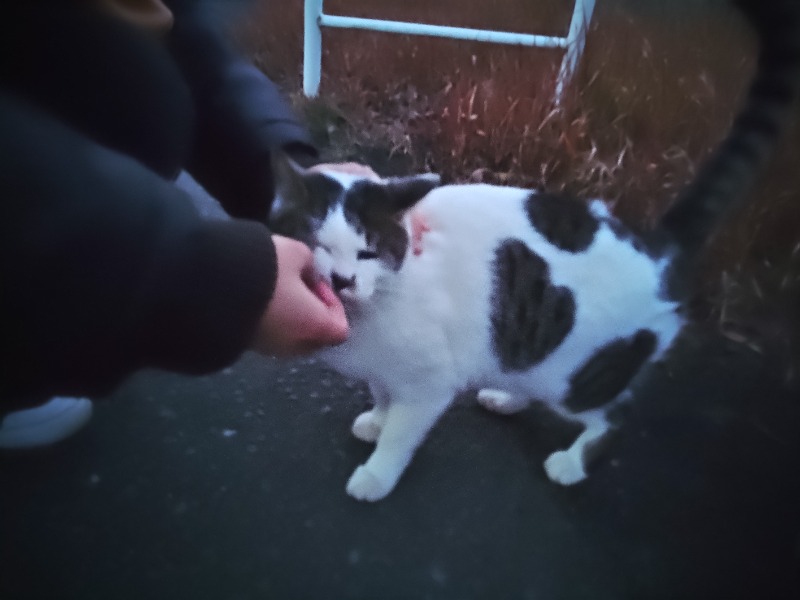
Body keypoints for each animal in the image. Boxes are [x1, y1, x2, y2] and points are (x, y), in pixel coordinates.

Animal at [270, 0, 800, 502]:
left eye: (368, 252)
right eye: (319, 245)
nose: (343, 280)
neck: (377, 305)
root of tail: (653, 245)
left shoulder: (430, 383)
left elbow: (403, 431)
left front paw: (377, 472)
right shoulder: (383, 368)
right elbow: (381, 392)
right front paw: (376, 418)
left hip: (584, 371)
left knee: (613, 417)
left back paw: (571, 464)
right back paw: (506, 398)